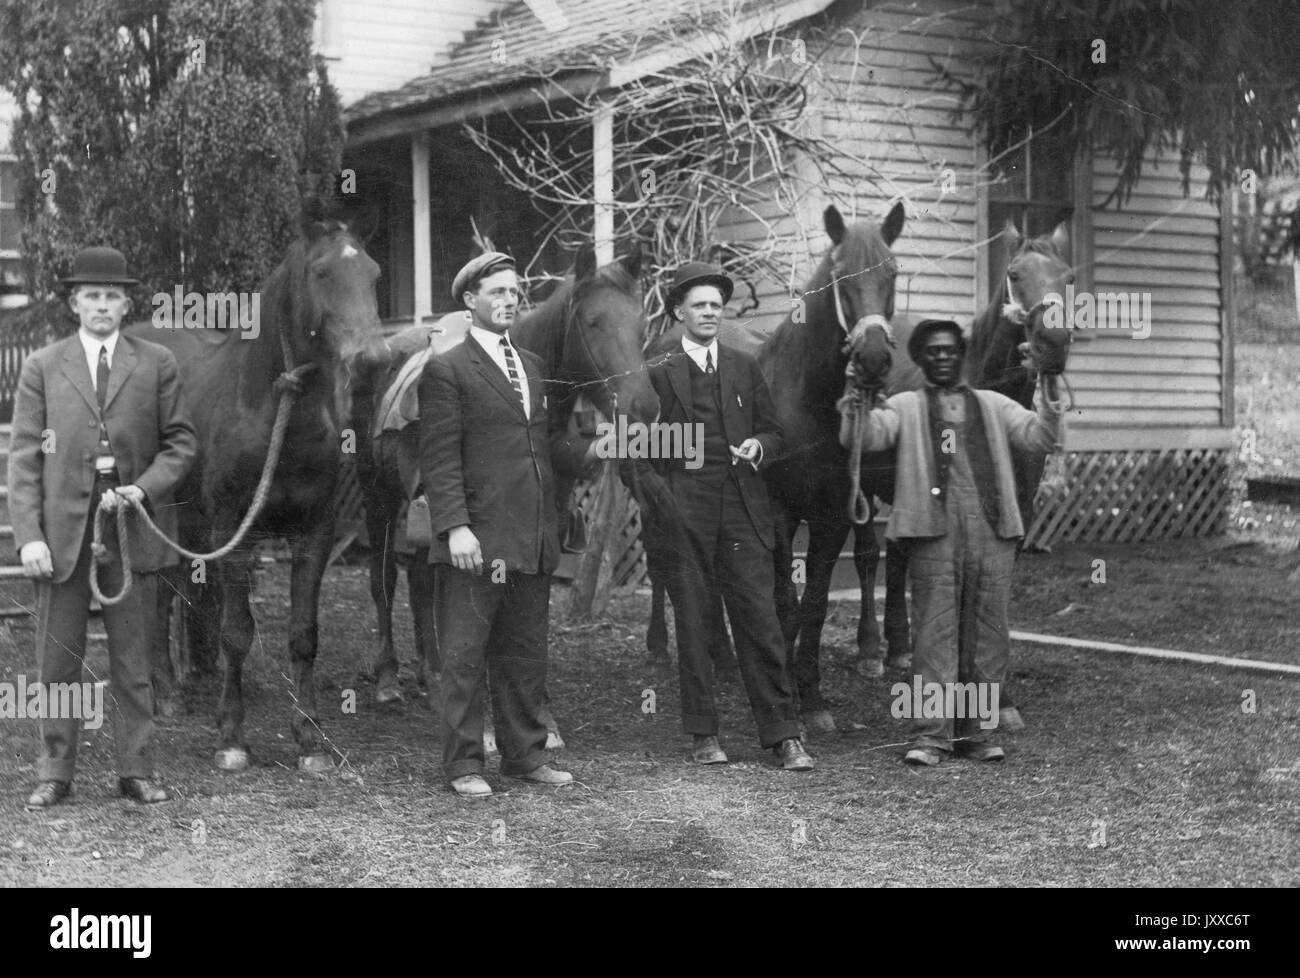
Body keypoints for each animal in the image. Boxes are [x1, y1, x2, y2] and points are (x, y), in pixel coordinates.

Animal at [132, 215, 384, 769]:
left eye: (374, 273)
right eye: (321, 272)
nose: (374, 360)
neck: (274, 413)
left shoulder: (315, 534)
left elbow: (304, 634)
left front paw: (309, 736)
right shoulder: (236, 532)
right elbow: (236, 634)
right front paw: (231, 736)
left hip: (189, 520)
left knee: (170, 588)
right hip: (157, 512)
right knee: (154, 592)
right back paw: (164, 695)